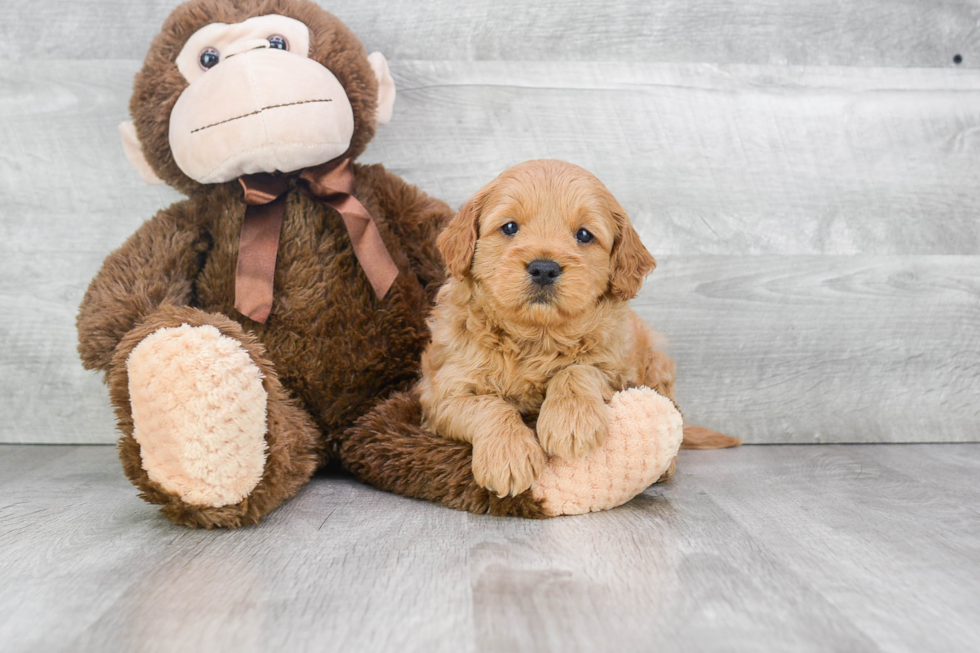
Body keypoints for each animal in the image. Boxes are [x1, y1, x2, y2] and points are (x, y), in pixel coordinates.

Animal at [418, 160, 732, 496]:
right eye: (510, 227)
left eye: (584, 234)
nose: (544, 268)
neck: (536, 335)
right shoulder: (442, 395)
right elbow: (488, 405)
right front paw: (508, 456)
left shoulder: (618, 371)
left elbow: (577, 369)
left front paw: (570, 423)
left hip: (657, 365)